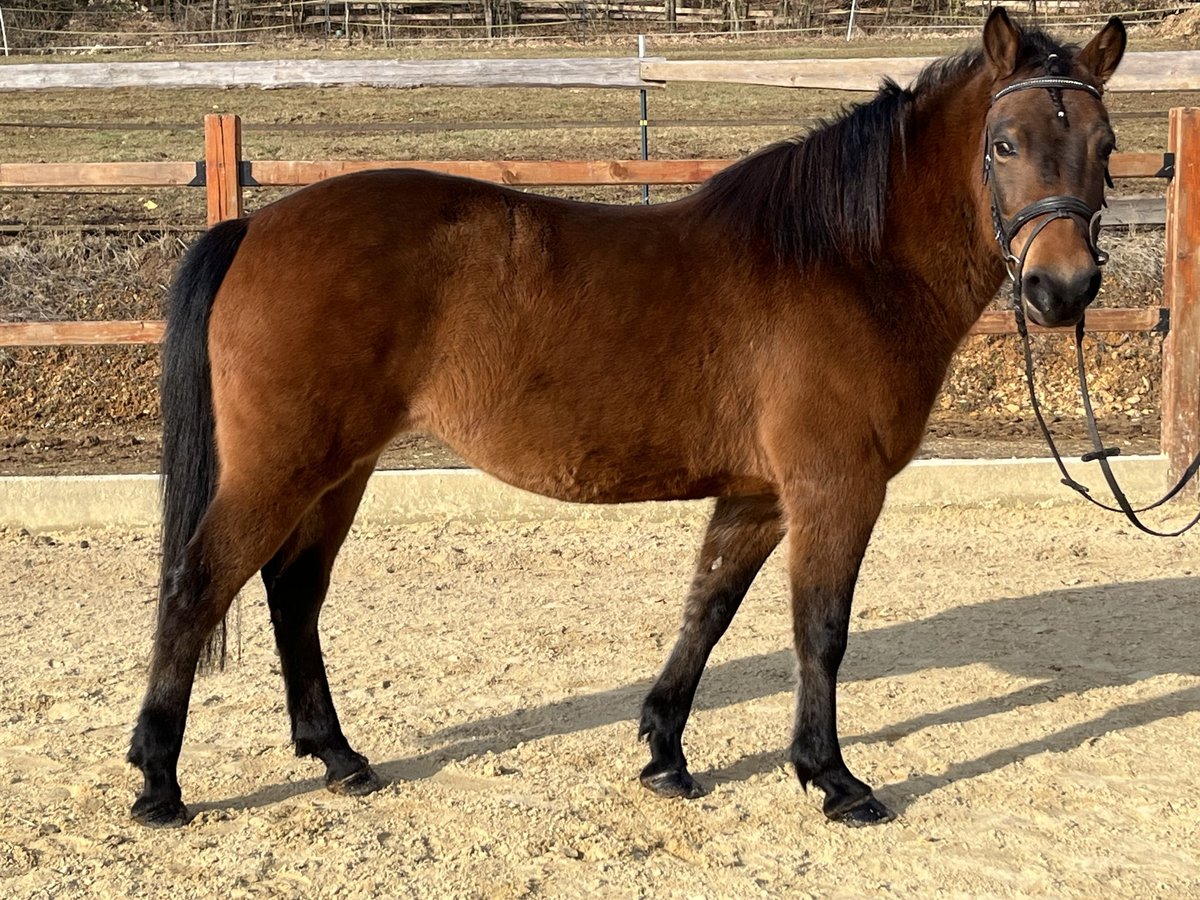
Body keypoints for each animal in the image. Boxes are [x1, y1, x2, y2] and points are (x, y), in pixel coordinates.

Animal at [129, 10, 1123, 830]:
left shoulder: (759, 494)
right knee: (198, 583)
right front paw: (832, 778)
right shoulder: (833, 487)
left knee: (294, 591)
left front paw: (665, 752)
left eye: (1106, 144)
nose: (1063, 289)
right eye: (1005, 142)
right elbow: (821, 630)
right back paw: (159, 781)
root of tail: (256, 228)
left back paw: (337, 756)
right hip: (285, 464)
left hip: (343, 467)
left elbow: (709, 608)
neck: (846, 261)